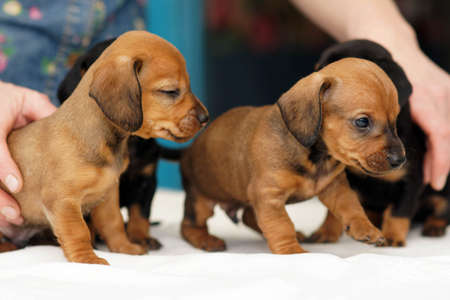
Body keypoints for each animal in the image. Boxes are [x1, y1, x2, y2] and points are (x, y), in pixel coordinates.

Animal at [181, 58, 406, 253]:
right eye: (362, 121)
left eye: (396, 119)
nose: (400, 160)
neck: (316, 158)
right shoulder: (268, 195)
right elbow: (281, 225)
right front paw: (292, 252)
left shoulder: (335, 187)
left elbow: (351, 206)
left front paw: (365, 228)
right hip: (200, 202)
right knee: (188, 227)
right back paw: (206, 240)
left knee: (248, 217)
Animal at [308, 39, 448, 246]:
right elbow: (337, 209)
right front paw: (326, 232)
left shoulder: (411, 180)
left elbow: (399, 211)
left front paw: (392, 237)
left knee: (442, 208)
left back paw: (434, 226)